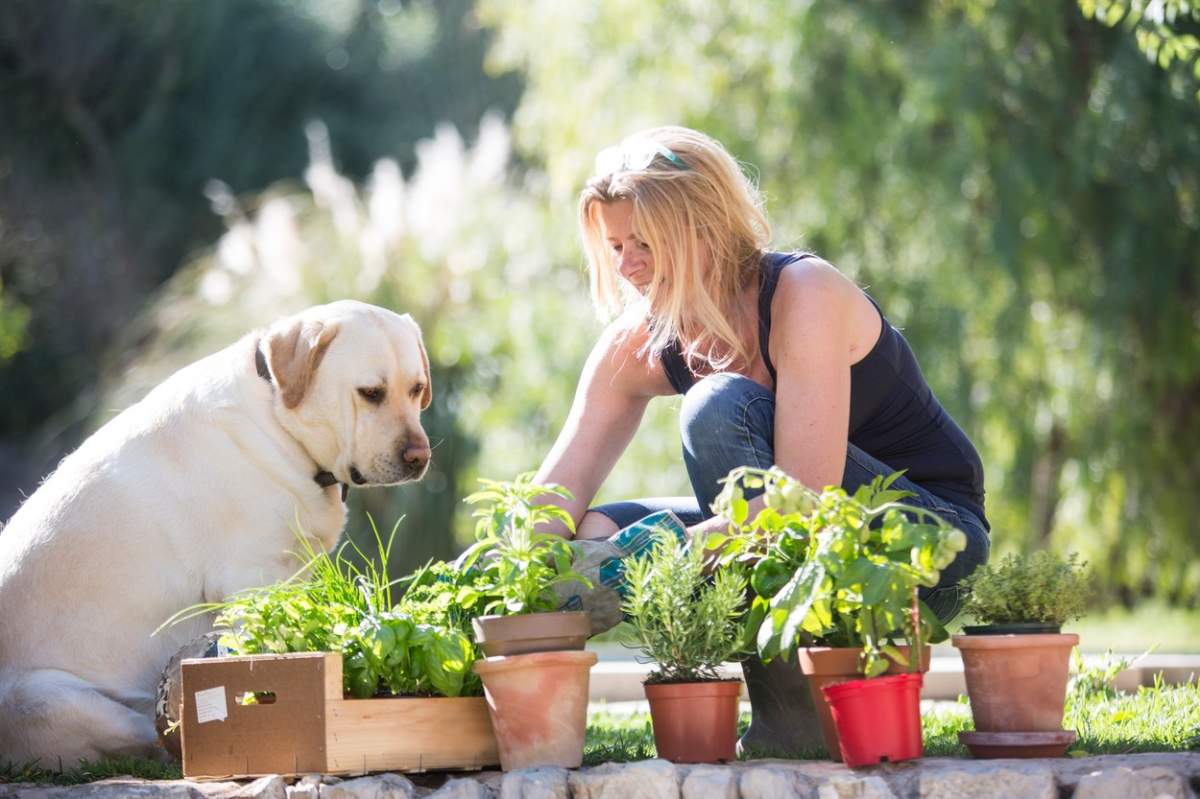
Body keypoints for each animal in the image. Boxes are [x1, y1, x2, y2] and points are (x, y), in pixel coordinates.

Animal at [0, 299, 432, 767]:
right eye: (370, 393)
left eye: (416, 389)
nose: (420, 457)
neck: (276, 419)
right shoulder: (248, 582)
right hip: (54, 701)